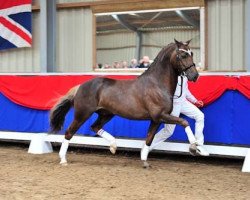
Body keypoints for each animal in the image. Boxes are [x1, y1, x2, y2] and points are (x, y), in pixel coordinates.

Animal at [49, 38, 199, 166]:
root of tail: (80, 86)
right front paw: (194, 147)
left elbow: (149, 138)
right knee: (69, 132)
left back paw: (113, 146)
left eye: (191, 53)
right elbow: (184, 122)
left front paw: (144, 160)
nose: (195, 76)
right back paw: (63, 160)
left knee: (94, 127)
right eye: (183, 55)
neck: (157, 84)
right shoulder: (160, 115)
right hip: (82, 114)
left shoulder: (156, 120)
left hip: (106, 114)